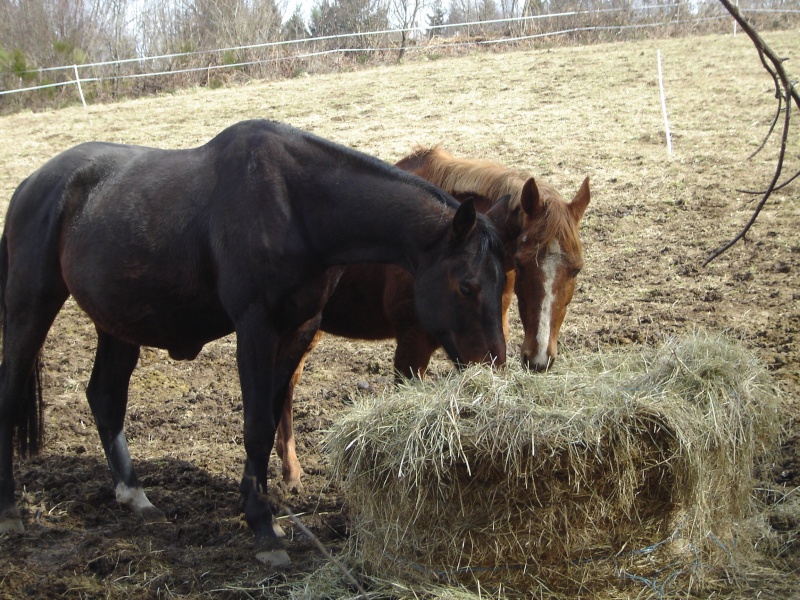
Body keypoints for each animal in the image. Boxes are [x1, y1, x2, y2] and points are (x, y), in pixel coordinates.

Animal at [0, 119, 506, 564]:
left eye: (503, 284)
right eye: (467, 286)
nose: (493, 366)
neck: (295, 207)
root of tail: (30, 184)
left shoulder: (298, 328)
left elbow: (270, 416)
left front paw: (257, 505)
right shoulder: (256, 327)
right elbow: (257, 424)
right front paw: (263, 527)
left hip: (119, 324)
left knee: (105, 397)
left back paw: (135, 495)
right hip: (31, 305)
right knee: (14, 384)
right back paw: (10, 511)